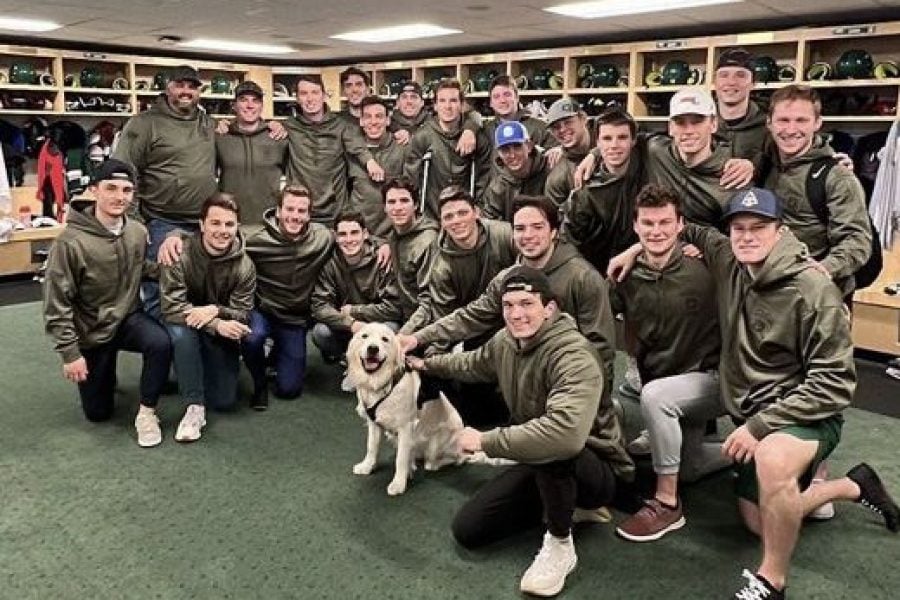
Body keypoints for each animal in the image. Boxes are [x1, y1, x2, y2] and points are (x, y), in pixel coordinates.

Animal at [348, 324, 510, 496]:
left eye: (385, 339)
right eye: (364, 336)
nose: (373, 349)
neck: (381, 382)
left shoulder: (405, 427)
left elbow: (400, 459)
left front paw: (398, 484)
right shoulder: (374, 423)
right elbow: (371, 447)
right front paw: (367, 466)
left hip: (437, 445)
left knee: (452, 460)